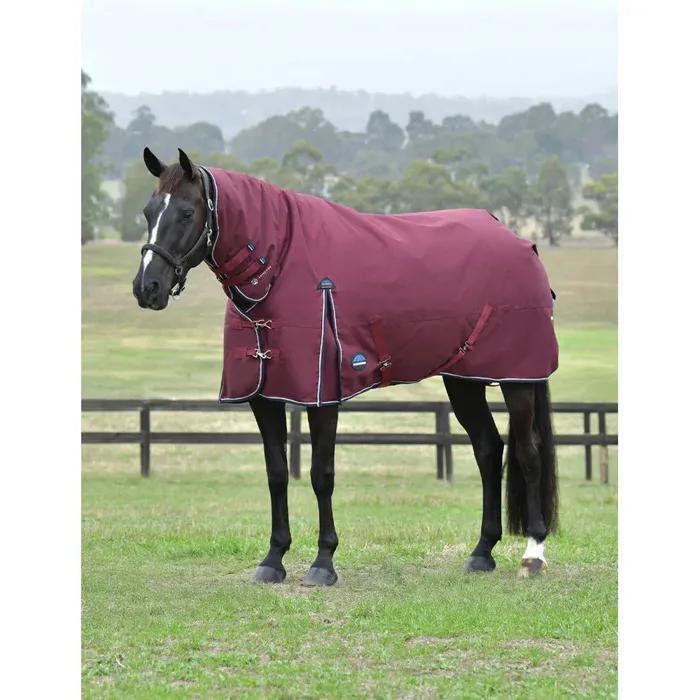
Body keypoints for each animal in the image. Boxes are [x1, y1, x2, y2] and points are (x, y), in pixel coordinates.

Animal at [132, 147, 558, 585]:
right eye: (148, 211)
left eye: (186, 212)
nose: (147, 287)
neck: (279, 264)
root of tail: (520, 242)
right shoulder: (264, 395)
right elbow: (277, 473)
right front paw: (273, 559)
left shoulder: (322, 397)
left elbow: (322, 475)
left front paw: (323, 562)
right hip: (463, 379)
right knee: (488, 450)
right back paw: (482, 552)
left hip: (517, 378)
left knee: (528, 453)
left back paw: (533, 554)